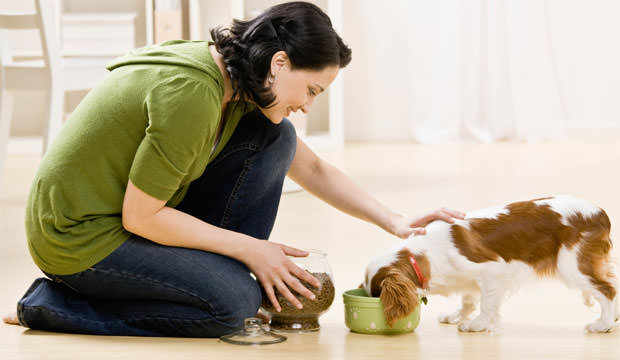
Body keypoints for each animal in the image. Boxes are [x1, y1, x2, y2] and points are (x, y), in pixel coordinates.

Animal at [360, 195, 616, 334]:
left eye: (377, 295)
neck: (424, 254)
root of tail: (600, 212)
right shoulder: (468, 278)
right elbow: (468, 299)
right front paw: (457, 316)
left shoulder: (493, 271)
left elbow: (486, 304)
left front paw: (477, 325)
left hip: (572, 268)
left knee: (608, 290)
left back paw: (603, 325)